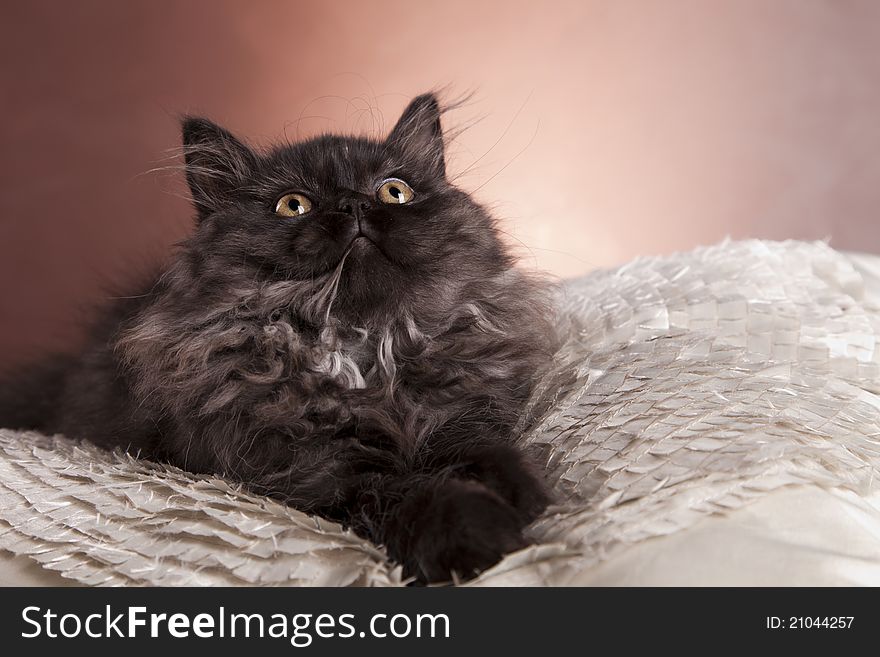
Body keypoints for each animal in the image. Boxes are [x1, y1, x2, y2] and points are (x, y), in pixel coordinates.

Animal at [0, 92, 556, 580]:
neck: (363, 344)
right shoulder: (317, 473)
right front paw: (476, 534)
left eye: (394, 191)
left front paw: (521, 492)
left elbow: (477, 447)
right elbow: (409, 494)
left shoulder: (457, 410)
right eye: (293, 205)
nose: (353, 204)